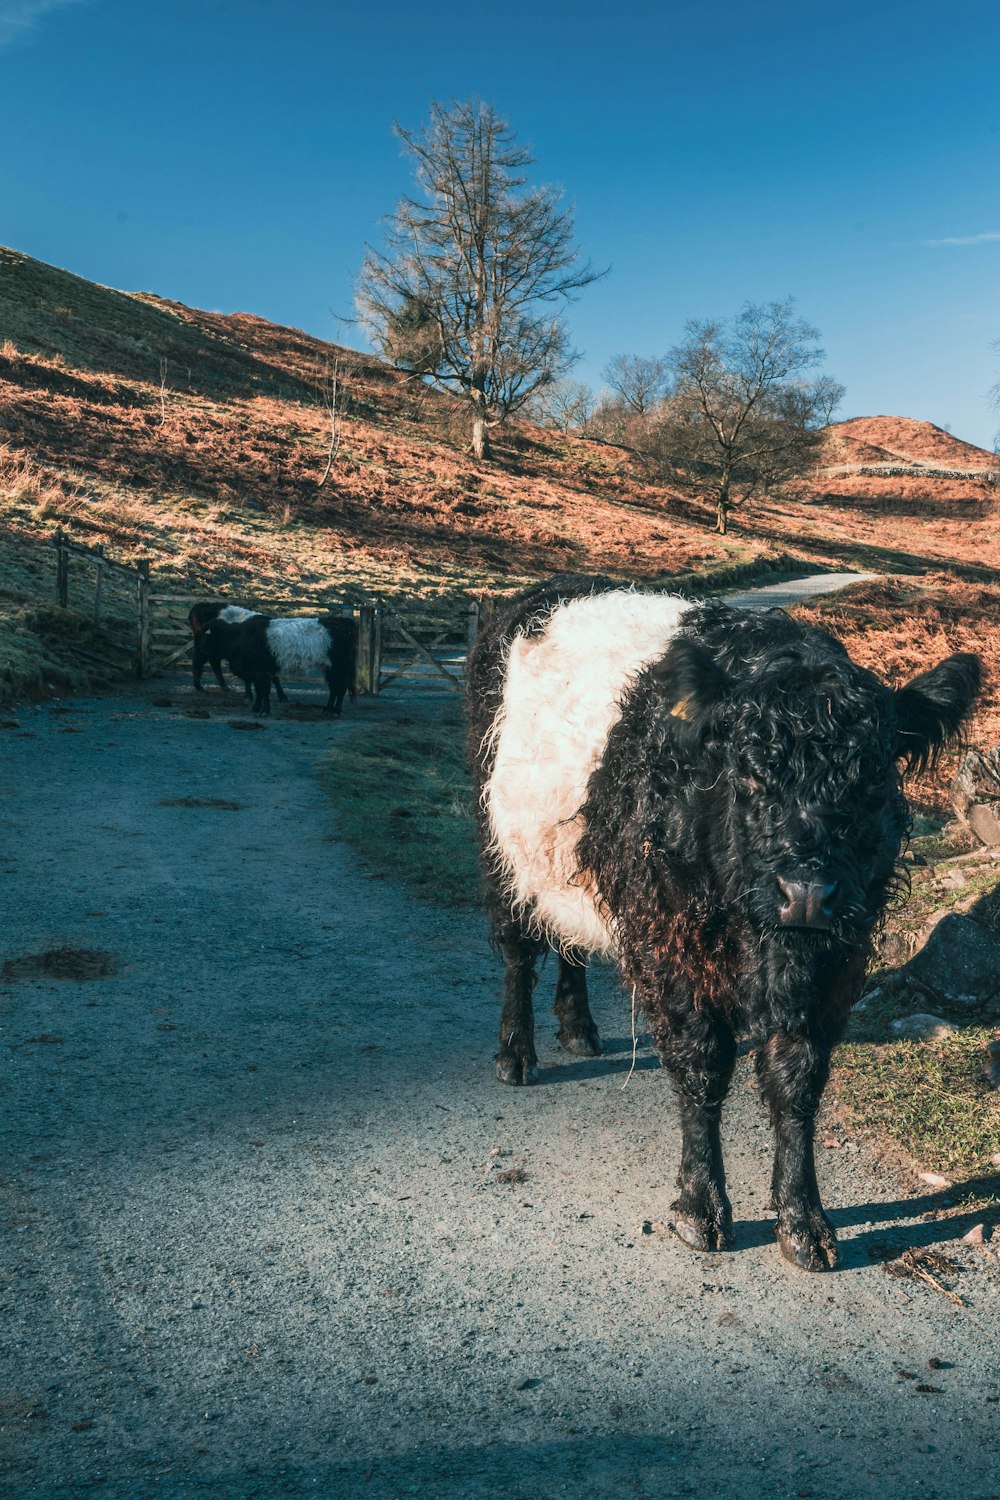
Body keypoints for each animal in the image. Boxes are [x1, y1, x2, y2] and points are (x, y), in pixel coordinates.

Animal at [470, 573, 983, 1266]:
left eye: (874, 786)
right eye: (749, 777)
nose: (806, 894)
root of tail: (552, 588)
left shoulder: (834, 958)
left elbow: (797, 1076)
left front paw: (804, 1220)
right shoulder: (673, 938)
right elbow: (702, 1063)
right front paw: (700, 1207)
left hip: (567, 863)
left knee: (569, 938)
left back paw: (579, 1029)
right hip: (500, 847)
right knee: (518, 952)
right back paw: (516, 1054)